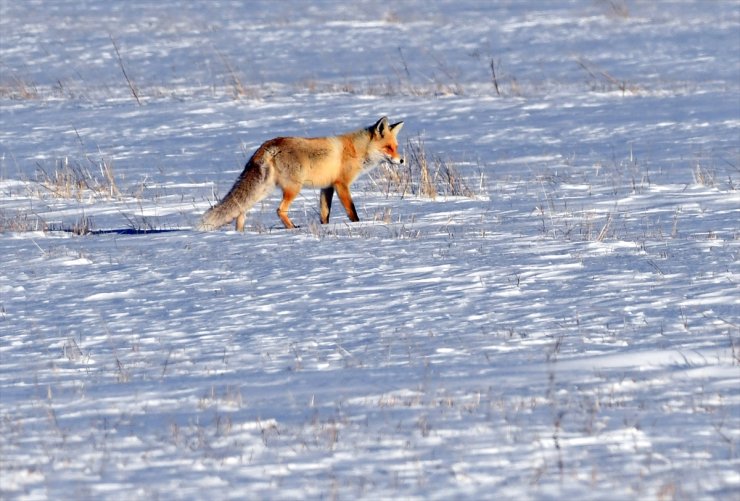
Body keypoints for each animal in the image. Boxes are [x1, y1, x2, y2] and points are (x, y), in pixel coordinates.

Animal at [197, 116, 404, 231]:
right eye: (388, 148)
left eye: (396, 147)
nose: (402, 161)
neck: (356, 150)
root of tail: (267, 146)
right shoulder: (341, 184)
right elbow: (352, 211)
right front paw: (358, 225)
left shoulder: (327, 187)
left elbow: (324, 214)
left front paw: (325, 228)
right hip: (293, 188)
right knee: (279, 210)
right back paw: (292, 228)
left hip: (263, 190)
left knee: (241, 211)